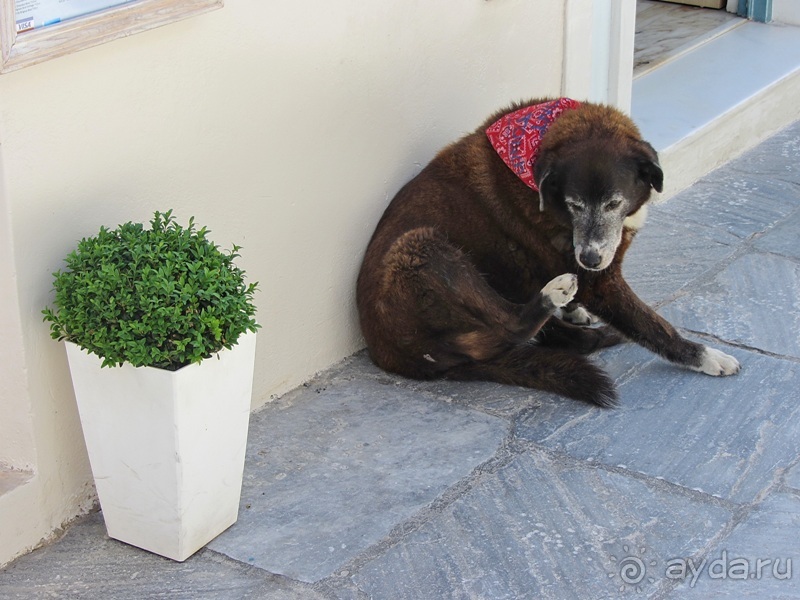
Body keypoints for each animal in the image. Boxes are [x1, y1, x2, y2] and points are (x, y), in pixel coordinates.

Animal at [354, 99, 740, 408]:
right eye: (574, 204)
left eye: (614, 203)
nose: (589, 260)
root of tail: (395, 356)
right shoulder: (602, 284)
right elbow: (653, 326)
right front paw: (705, 356)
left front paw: (576, 310)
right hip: (419, 246)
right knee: (517, 327)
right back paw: (559, 300)